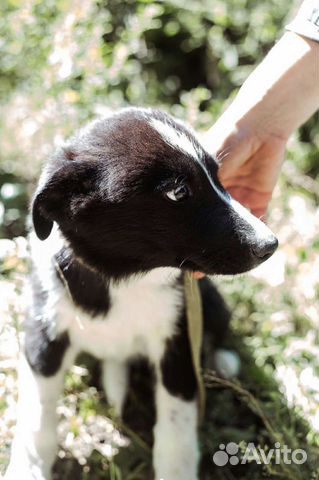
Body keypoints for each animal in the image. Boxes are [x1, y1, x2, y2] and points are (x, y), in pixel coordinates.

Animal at [4, 109, 278, 480]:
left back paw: (221, 360)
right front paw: (27, 467)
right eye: (178, 192)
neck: (124, 280)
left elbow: (177, 423)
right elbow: (37, 416)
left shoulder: (178, 338)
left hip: (210, 302)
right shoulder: (43, 331)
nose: (269, 245)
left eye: (217, 176)